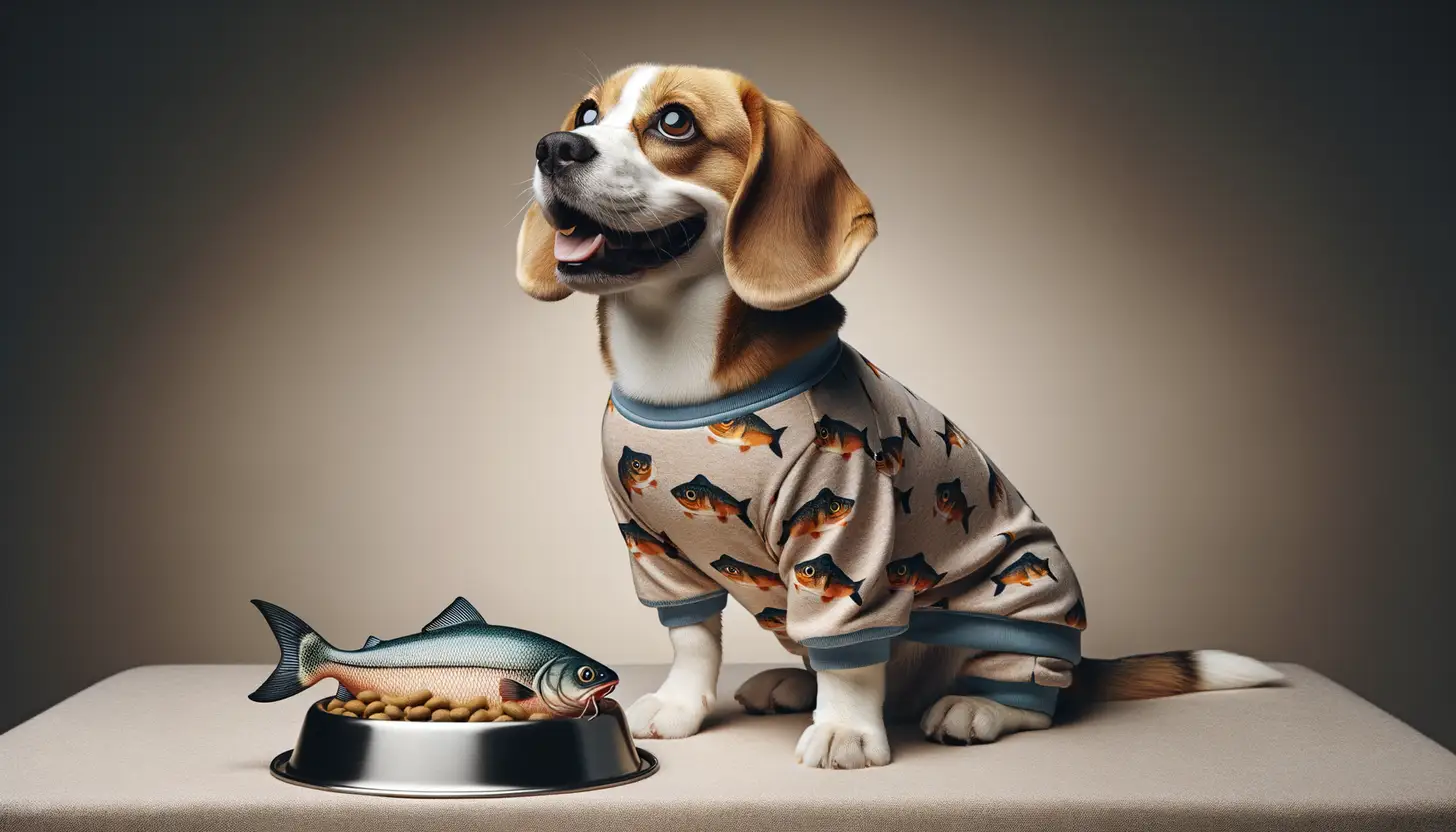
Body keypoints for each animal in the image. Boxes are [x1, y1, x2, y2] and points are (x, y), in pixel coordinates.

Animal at [515, 61, 1287, 769]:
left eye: (675, 122)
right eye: (587, 114)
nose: (554, 146)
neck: (678, 374)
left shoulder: (846, 521)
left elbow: (850, 649)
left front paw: (845, 733)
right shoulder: (651, 544)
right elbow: (692, 638)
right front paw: (682, 705)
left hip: (1023, 604)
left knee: (1027, 691)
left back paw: (975, 707)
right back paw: (794, 685)